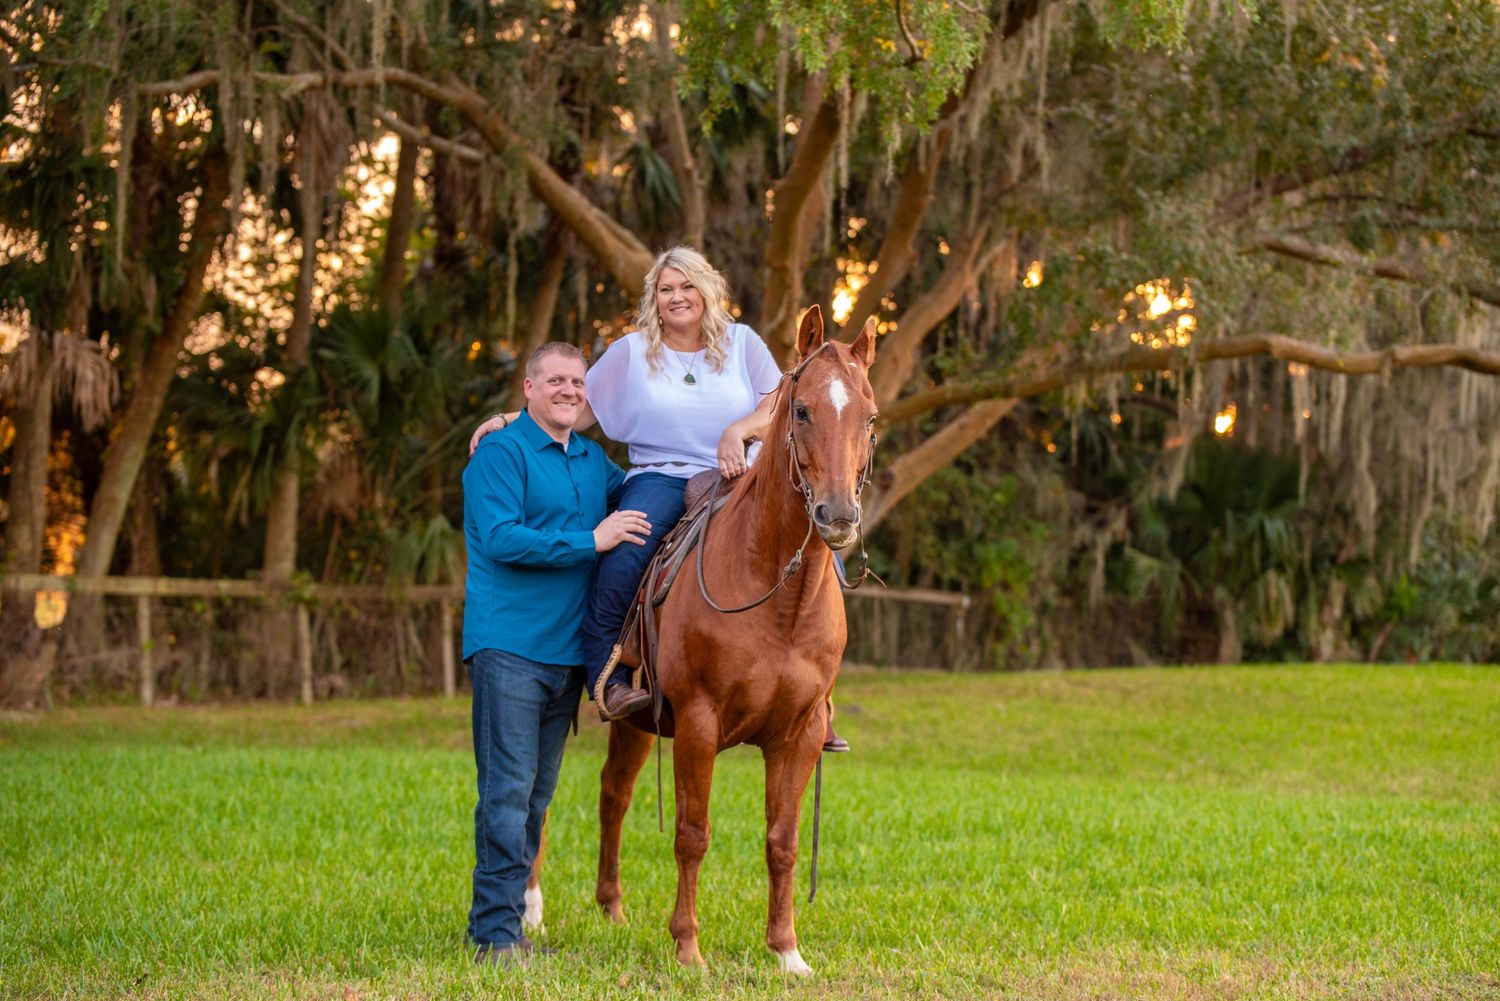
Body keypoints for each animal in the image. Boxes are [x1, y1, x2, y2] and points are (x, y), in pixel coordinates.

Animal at [588, 304, 879, 974]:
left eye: (870, 417)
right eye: (802, 410)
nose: (837, 516)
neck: (776, 596)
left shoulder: (800, 735)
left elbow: (783, 841)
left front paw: (787, 950)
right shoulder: (699, 722)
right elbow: (693, 835)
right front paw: (688, 947)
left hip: (636, 720)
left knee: (615, 793)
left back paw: (612, 908)